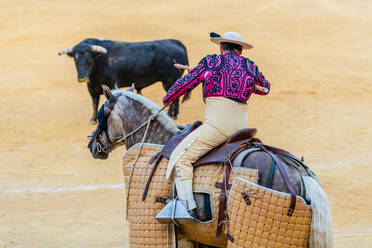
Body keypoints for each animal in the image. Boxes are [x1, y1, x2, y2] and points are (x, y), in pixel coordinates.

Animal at [60, 38, 192, 124]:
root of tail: (176, 42)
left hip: (170, 81)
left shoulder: (110, 85)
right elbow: (94, 103)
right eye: (75, 60)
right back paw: (175, 115)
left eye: (89, 60)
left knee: (174, 98)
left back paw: (171, 115)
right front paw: (93, 119)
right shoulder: (91, 88)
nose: (82, 78)